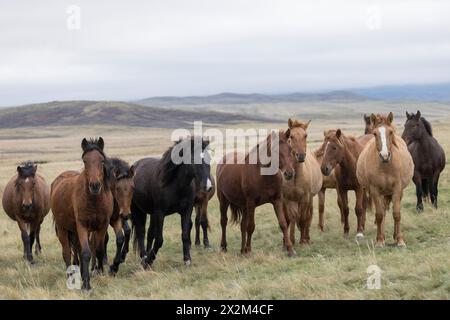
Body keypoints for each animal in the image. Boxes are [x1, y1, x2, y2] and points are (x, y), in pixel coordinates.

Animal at [51, 138, 113, 290]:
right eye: (85, 161)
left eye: (102, 160)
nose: (95, 185)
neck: (94, 201)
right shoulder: (82, 226)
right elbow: (86, 253)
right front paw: (86, 285)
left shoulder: (102, 226)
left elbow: (99, 250)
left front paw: (98, 273)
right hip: (62, 229)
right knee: (67, 253)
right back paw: (70, 277)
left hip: (73, 231)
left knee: (76, 250)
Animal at [132, 136, 213, 268]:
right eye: (193, 159)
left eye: (209, 158)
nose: (208, 186)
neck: (174, 184)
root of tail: (135, 165)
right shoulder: (160, 213)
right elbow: (159, 240)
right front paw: (149, 260)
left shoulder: (186, 211)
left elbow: (185, 234)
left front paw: (187, 259)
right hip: (137, 210)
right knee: (141, 233)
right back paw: (144, 258)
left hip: (151, 214)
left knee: (149, 234)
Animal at [356, 112, 414, 248]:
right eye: (375, 133)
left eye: (390, 132)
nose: (384, 155)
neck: (386, 167)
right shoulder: (375, 191)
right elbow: (379, 215)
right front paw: (379, 241)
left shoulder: (397, 189)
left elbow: (397, 214)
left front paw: (400, 240)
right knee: (382, 212)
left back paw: (394, 236)